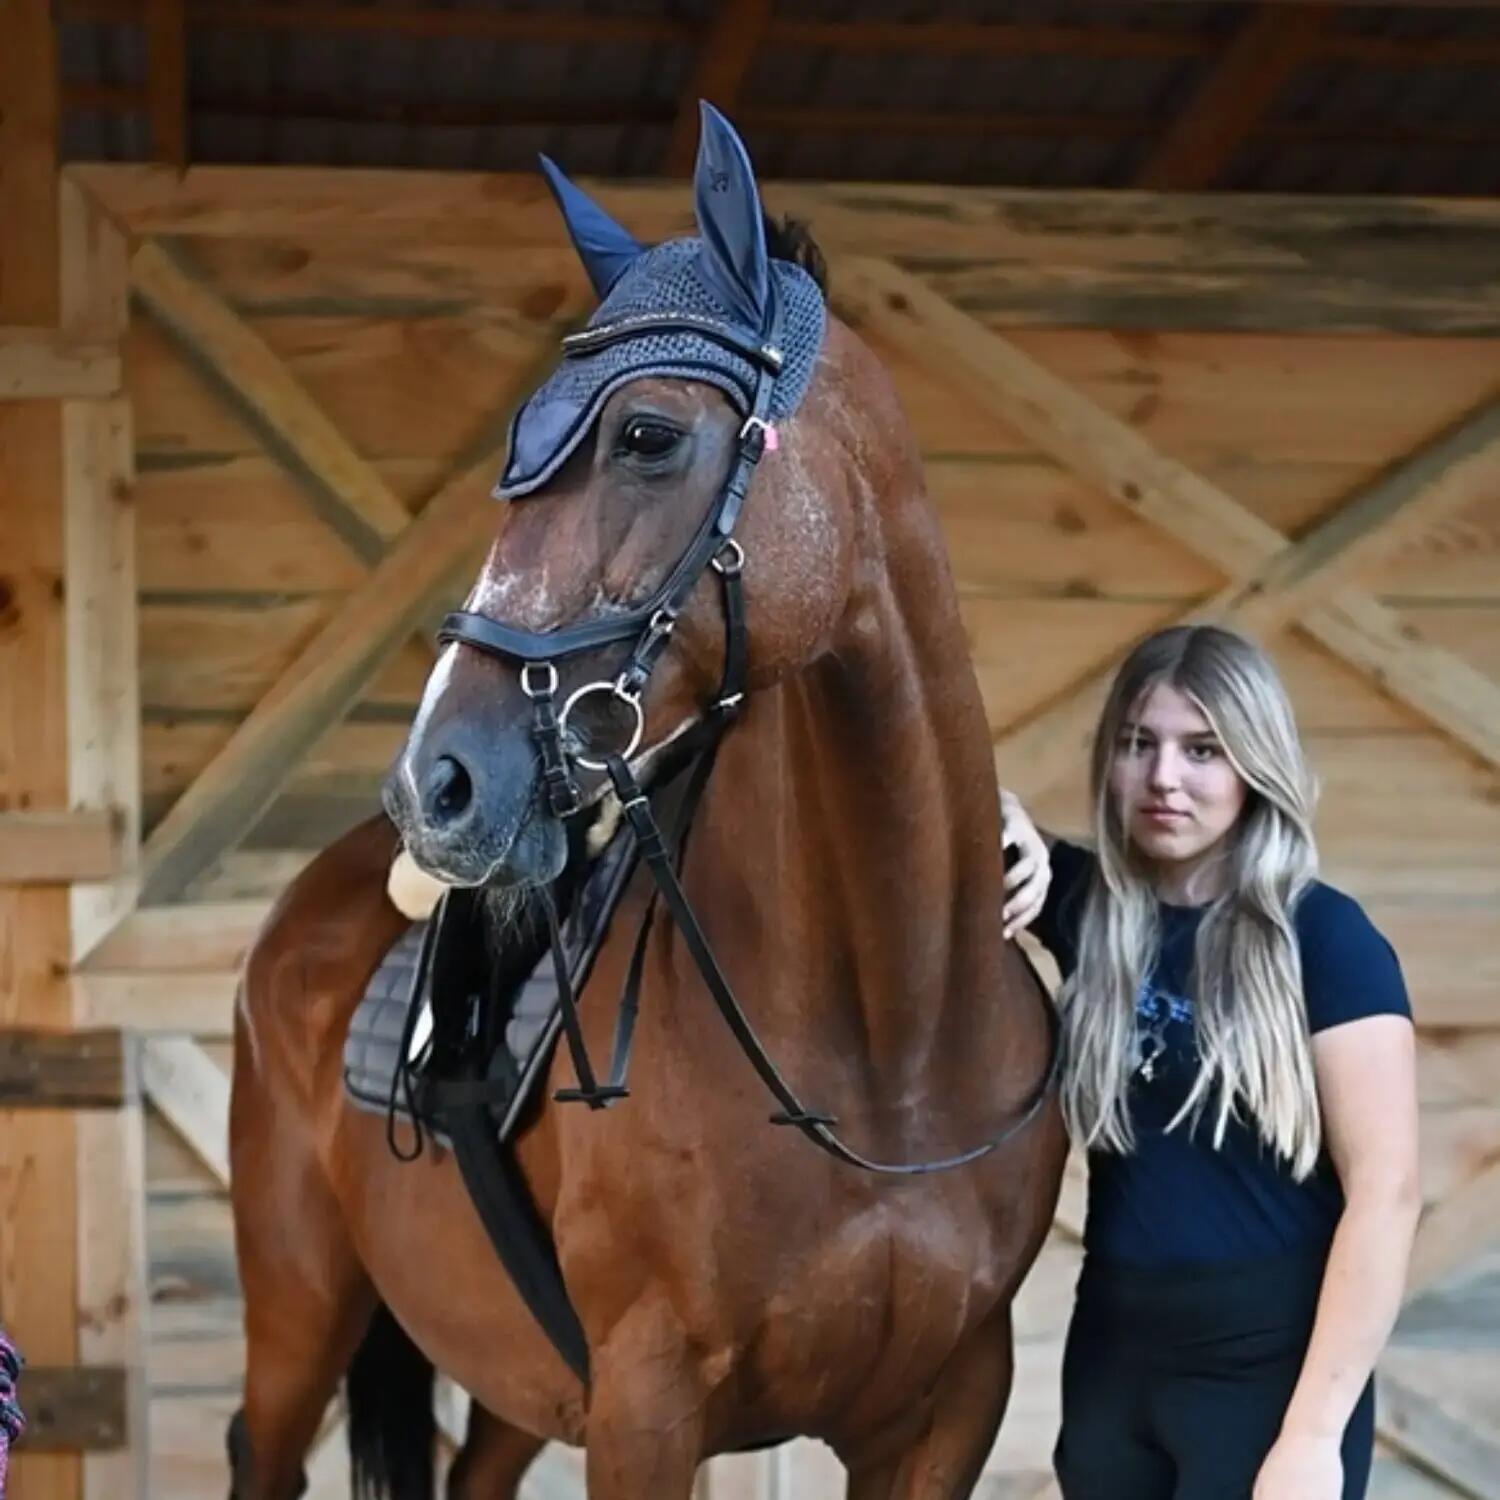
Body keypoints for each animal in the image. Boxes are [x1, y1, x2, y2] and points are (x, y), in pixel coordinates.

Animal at [228, 104, 1066, 1500]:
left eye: (647, 437)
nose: (433, 782)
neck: (886, 1055)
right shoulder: (647, 1404)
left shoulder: (949, 1413)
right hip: (299, 1310)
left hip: (511, 1378)